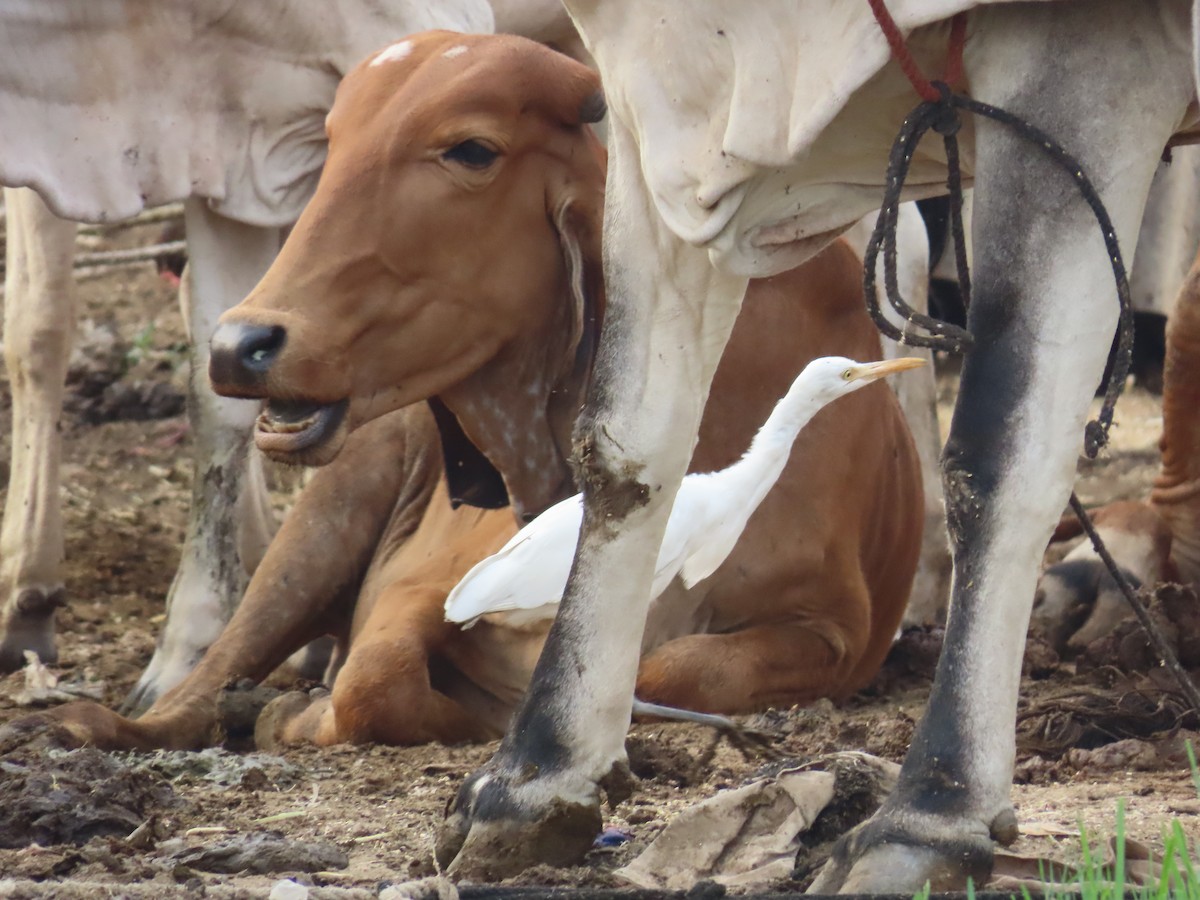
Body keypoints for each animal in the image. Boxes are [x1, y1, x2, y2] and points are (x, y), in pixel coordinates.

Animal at [441, 0, 1200, 892]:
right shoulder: (653, 115)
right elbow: (627, 438)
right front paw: (536, 774)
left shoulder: (1083, 65)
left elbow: (998, 461)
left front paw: (933, 812)